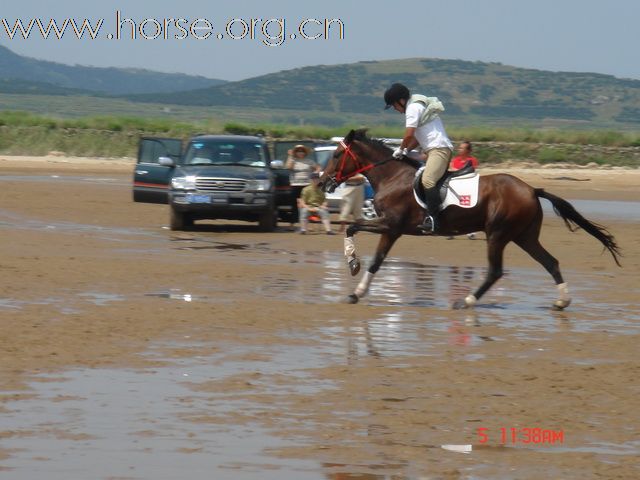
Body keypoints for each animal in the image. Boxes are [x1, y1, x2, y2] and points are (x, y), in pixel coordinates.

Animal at [318, 128, 620, 308]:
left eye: (336, 154)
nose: (322, 182)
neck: (392, 177)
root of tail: (531, 189)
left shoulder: (390, 226)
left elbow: (357, 235)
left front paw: (353, 267)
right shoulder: (390, 229)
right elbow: (371, 253)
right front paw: (356, 287)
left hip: (497, 234)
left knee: (495, 271)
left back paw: (467, 300)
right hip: (524, 236)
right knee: (550, 262)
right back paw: (561, 302)